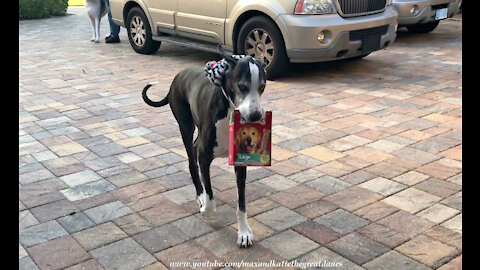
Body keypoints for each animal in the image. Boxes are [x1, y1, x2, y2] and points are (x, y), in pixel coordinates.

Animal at [141, 46, 268, 247]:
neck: (229, 110)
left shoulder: (239, 161)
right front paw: (206, 207)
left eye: (262, 87)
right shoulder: (204, 156)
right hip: (185, 126)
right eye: (242, 86)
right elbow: (209, 194)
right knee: (192, 161)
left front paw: (244, 232)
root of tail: (179, 74)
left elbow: (241, 202)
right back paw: (199, 195)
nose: (255, 116)